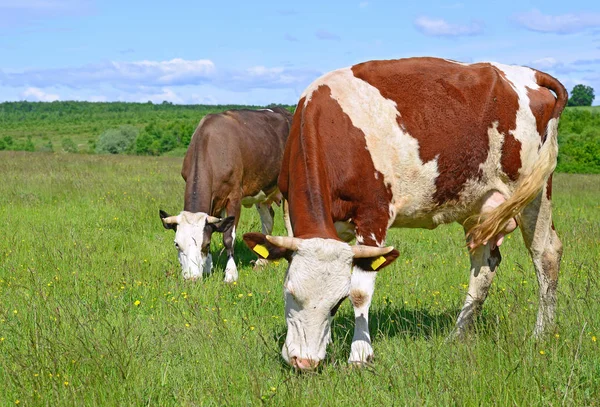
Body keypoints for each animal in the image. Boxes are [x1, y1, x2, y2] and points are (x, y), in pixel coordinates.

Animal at [158, 108, 292, 284]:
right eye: (176, 244)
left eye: (206, 245)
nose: (191, 279)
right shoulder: (215, 200)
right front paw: (208, 267)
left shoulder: (234, 196)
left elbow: (228, 238)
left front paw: (230, 274)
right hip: (263, 188)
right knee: (268, 220)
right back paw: (261, 262)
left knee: (288, 221)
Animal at [243, 55, 568, 372]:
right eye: (289, 293)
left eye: (337, 302)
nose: (304, 362)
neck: (336, 129)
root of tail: (528, 73)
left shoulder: (373, 215)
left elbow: (361, 290)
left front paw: (360, 355)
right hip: (479, 206)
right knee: (484, 265)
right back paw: (458, 335)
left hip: (534, 192)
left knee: (545, 254)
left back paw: (542, 333)